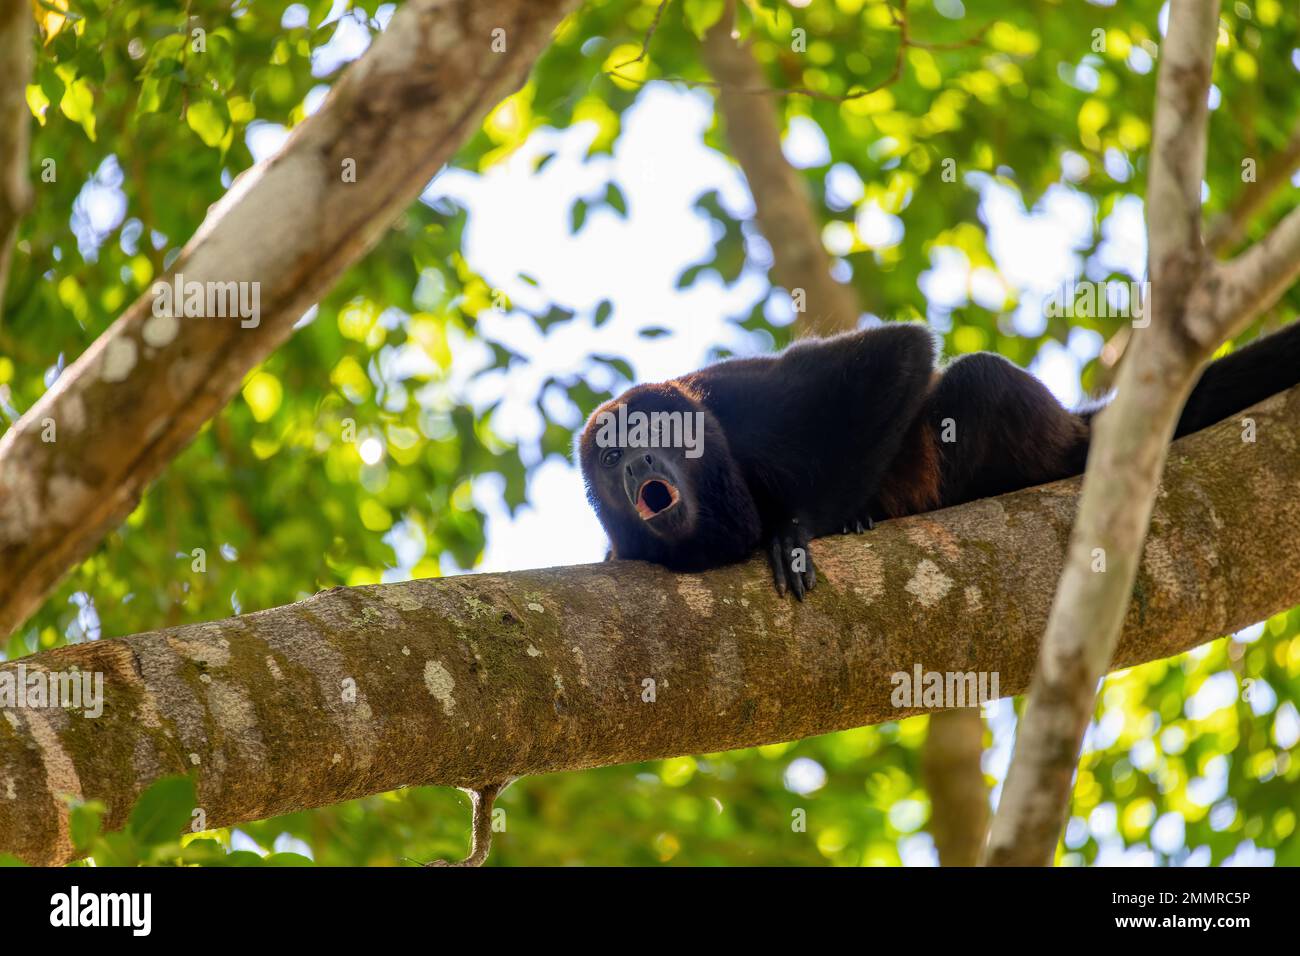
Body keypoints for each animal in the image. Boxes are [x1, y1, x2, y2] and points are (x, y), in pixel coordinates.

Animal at [579, 321, 1300, 598]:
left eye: (662, 430)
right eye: (612, 454)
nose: (638, 461)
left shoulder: (740, 395)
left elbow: (898, 353)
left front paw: (796, 530)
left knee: (977, 378)